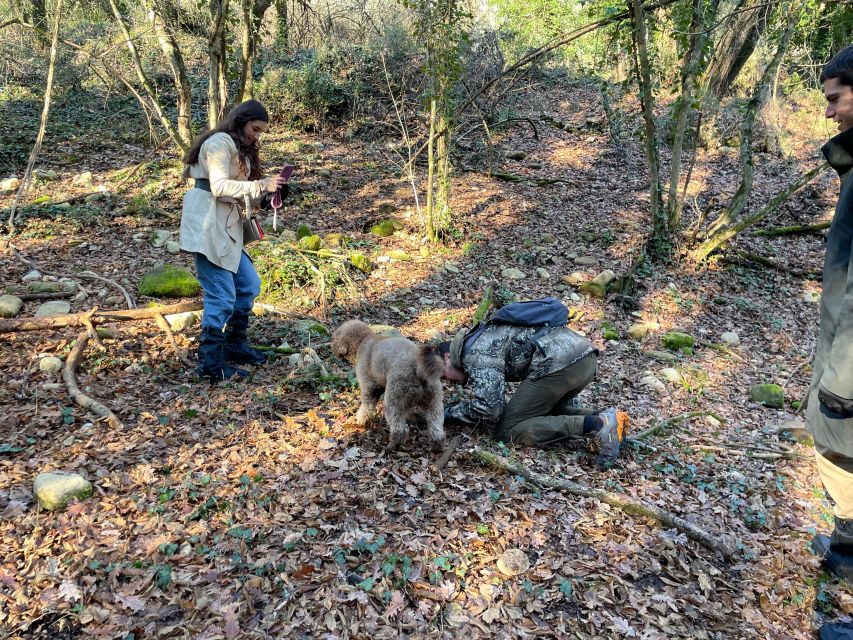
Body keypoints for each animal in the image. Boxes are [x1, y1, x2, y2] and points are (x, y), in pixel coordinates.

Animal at [330, 318, 442, 450]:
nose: (331, 346)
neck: (364, 340)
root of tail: (418, 368)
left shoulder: (369, 387)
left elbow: (367, 407)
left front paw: (361, 420)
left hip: (393, 399)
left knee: (399, 428)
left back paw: (393, 445)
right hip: (434, 402)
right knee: (436, 428)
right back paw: (437, 445)